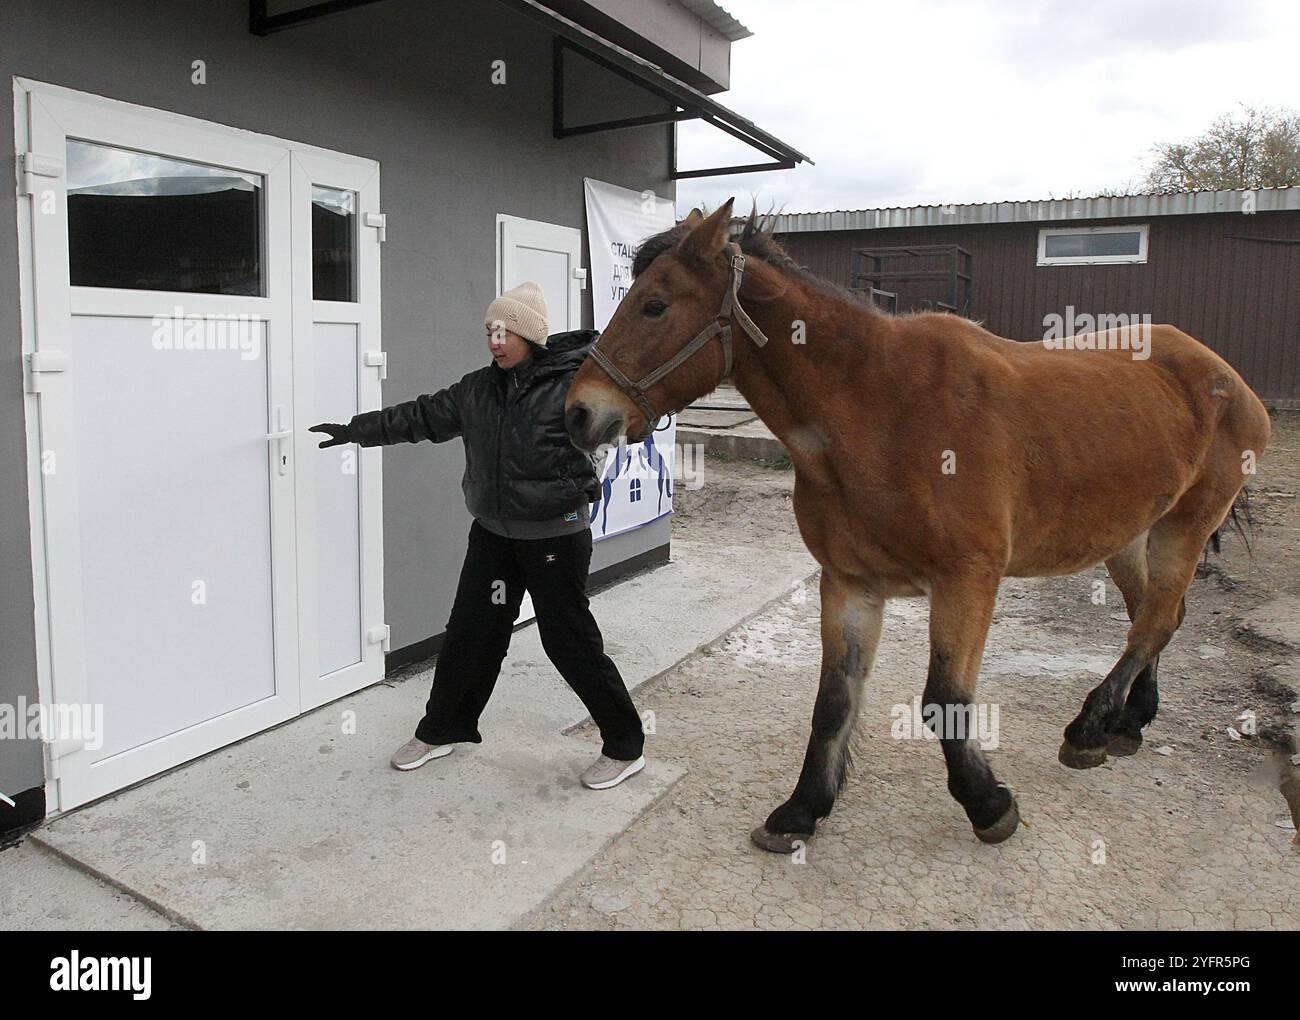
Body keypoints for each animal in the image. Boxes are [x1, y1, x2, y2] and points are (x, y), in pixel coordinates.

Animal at [564, 199, 1271, 853]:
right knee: (1155, 618)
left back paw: (1091, 727)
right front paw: (803, 809)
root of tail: (1222, 374)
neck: (885, 409)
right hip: (1128, 536)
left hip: (1182, 527)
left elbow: (944, 699)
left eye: (655, 305)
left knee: (1153, 622)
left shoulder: (967, 581)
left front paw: (988, 804)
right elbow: (834, 702)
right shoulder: (850, 584)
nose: (578, 413)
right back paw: (1129, 720)